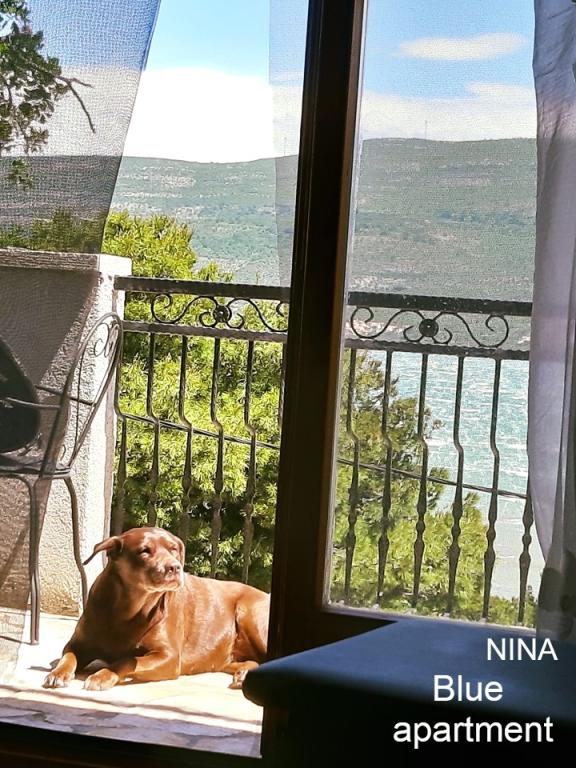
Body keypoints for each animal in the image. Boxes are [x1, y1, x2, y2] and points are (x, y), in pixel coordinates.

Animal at [42, 526, 269, 691]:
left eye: (174, 549)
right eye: (144, 551)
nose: (174, 567)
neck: (128, 609)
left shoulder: (168, 657)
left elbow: (126, 660)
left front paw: (102, 676)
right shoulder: (79, 643)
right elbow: (68, 655)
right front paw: (58, 673)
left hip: (251, 616)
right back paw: (244, 674)